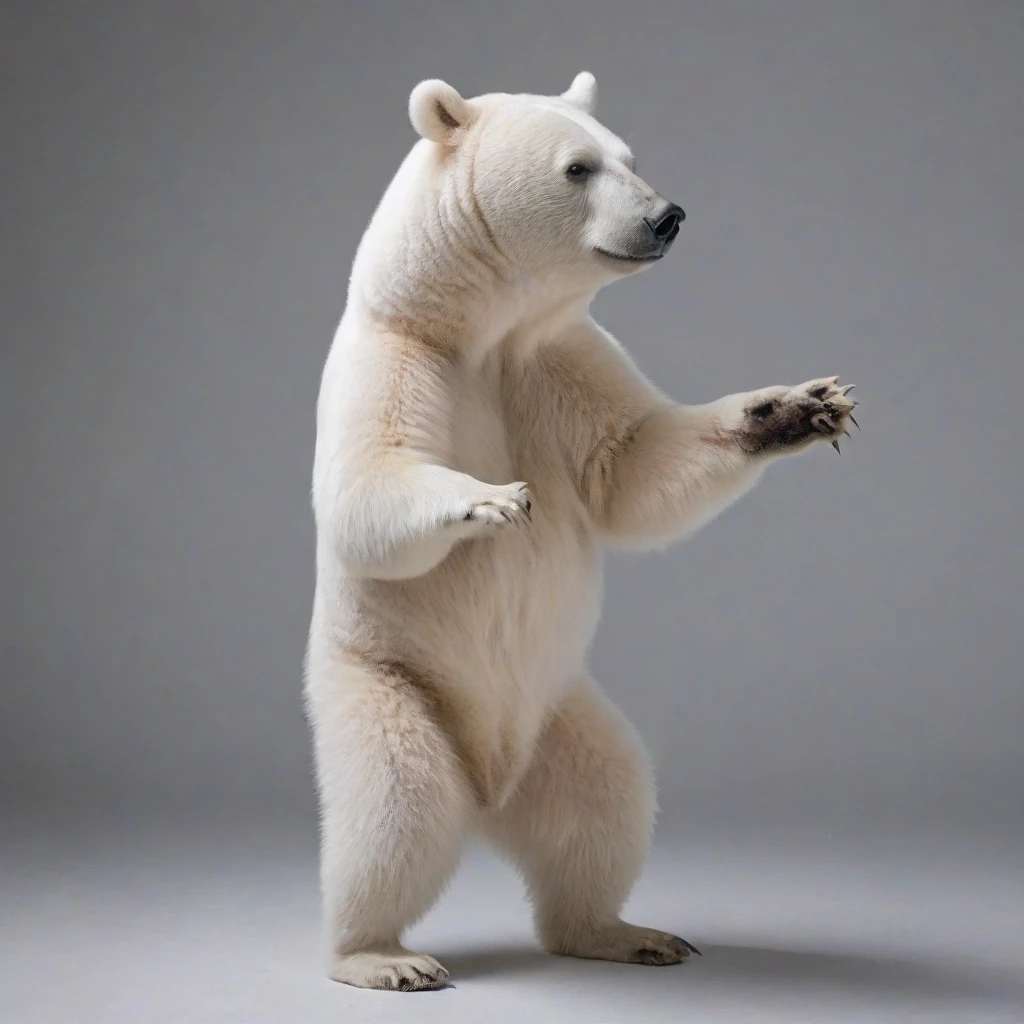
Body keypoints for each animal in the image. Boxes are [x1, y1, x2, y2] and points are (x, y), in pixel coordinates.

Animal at [304, 71, 858, 992]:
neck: (484, 334)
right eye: (577, 167)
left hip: (562, 713)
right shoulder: (395, 354)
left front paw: (794, 408)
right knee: (394, 806)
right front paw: (488, 503)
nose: (668, 214)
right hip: (386, 682)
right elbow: (363, 487)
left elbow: (632, 466)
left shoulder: (556, 361)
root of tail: (491, 788)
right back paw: (380, 954)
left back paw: (621, 930)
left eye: (628, 155)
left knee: (608, 802)